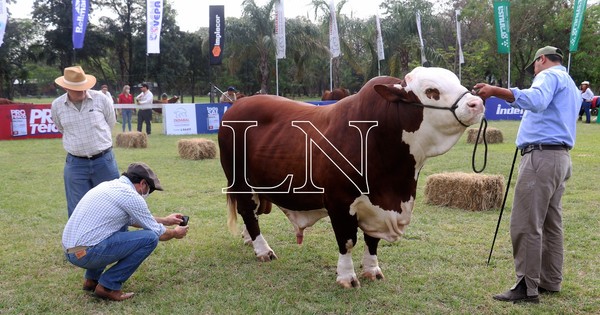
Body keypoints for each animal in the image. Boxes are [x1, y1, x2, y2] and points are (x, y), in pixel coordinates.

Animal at [218, 66, 486, 288]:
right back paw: (263, 249)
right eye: (431, 91)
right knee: (247, 211)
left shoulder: (378, 206)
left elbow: (372, 240)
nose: (477, 102)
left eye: (457, 81)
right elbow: (346, 241)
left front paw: (372, 270)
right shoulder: (339, 203)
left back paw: (249, 240)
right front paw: (347, 277)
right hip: (239, 180)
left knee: (253, 212)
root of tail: (237, 106)